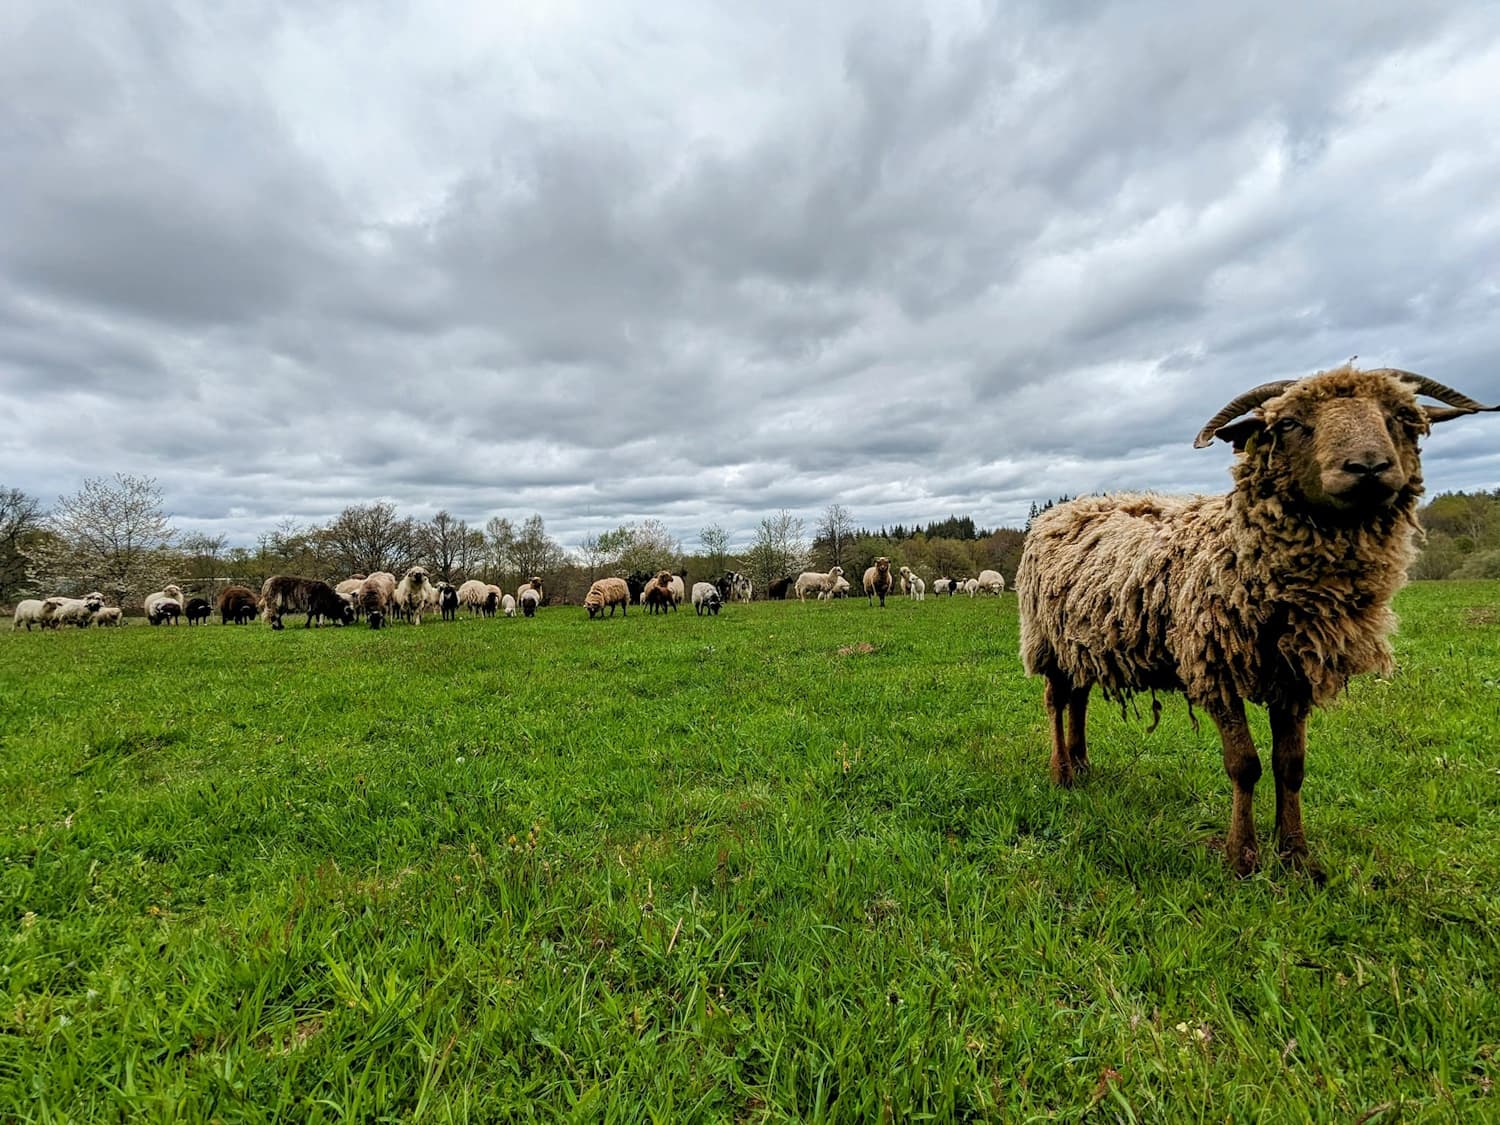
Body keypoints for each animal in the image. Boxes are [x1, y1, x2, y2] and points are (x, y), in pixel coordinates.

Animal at [1016, 364, 1498, 879]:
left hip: (1083, 642)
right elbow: (1244, 765)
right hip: (1046, 641)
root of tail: (1067, 507)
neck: (1242, 555)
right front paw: (1242, 857)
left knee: (1080, 699)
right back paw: (1062, 772)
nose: (1369, 467)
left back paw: (1083, 764)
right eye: (1288, 423)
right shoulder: (1216, 669)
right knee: (1056, 701)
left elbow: (1291, 765)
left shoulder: (1295, 677)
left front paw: (1296, 855)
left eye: (1403, 418)